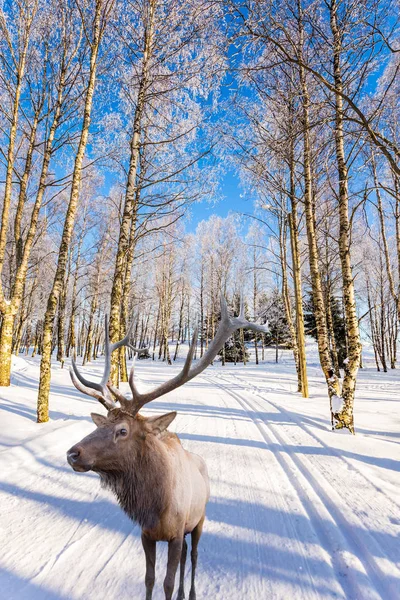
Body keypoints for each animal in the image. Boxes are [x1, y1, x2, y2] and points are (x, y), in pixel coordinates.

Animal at [66, 298, 266, 596]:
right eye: (101, 425)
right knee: (184, 557)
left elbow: (167, 583)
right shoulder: (146, 535)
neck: (155, 507)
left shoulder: (175, 533)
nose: (72, 453)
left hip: (200, 519)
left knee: (193, 555)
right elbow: (149, 579)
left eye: (122, 431)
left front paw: (177, 590)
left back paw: (190, 592)